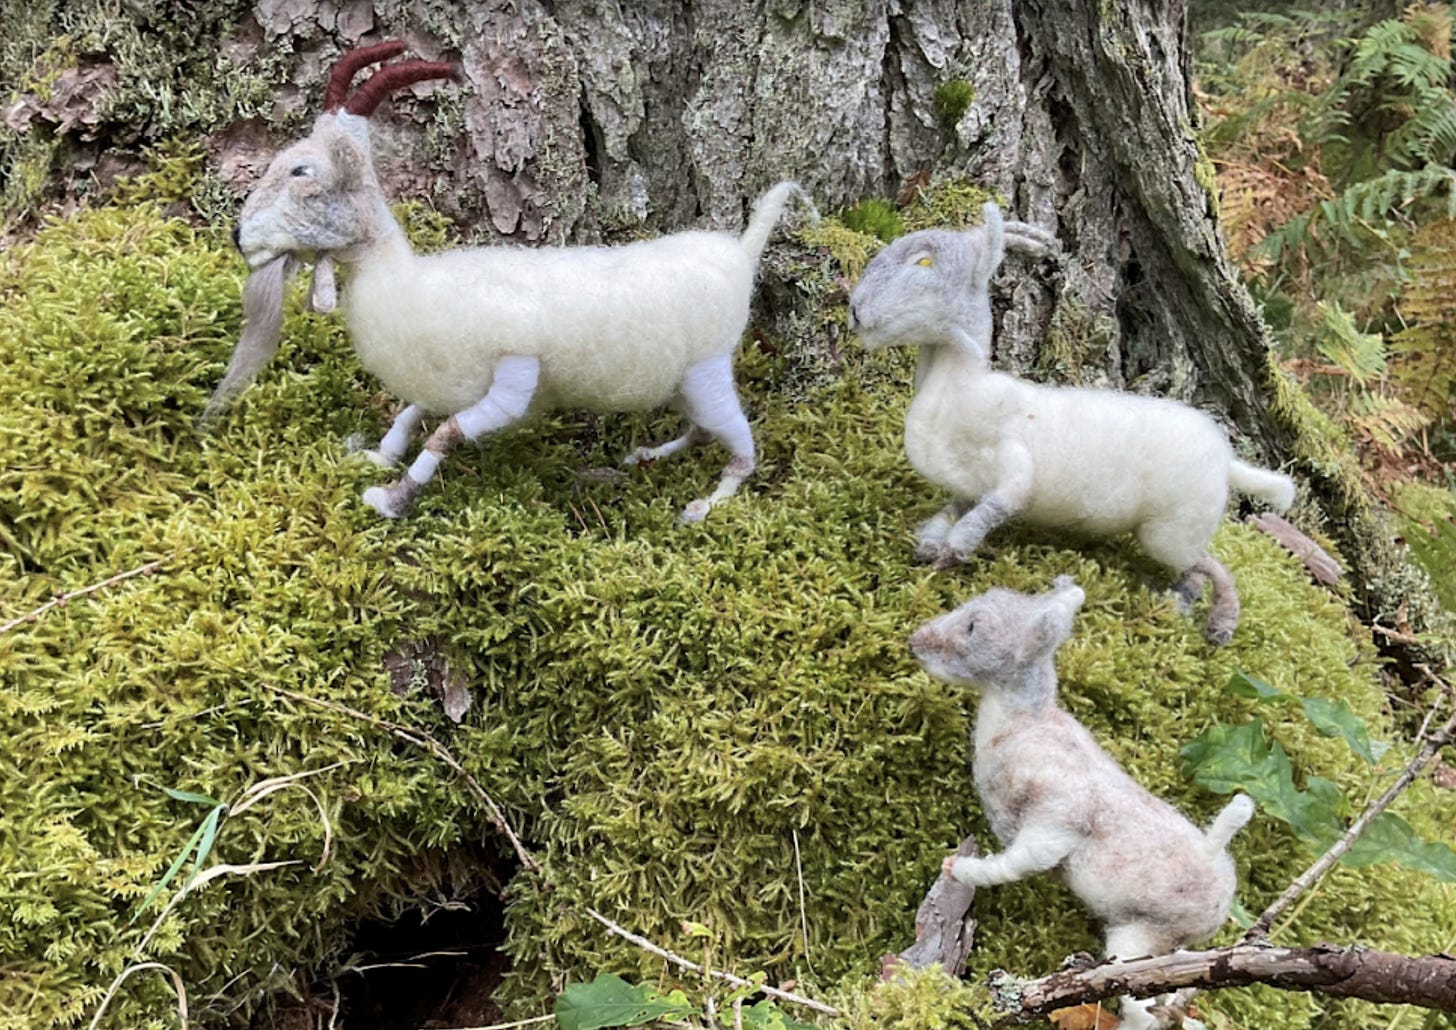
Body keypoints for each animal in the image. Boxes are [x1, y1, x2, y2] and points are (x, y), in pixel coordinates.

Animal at [212, 42, 815, 524]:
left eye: (302, 171)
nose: (239, 236)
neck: (405, 279)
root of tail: (740, 253)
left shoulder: (513, 379)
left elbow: (447, 431)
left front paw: (390, 498)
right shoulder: (449, 375)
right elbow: (410, 413)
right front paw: (376, 457)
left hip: (707, 371)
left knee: (742, 451)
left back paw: (703, 505)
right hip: (684, 381)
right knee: (701, 429)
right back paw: (647, 456)